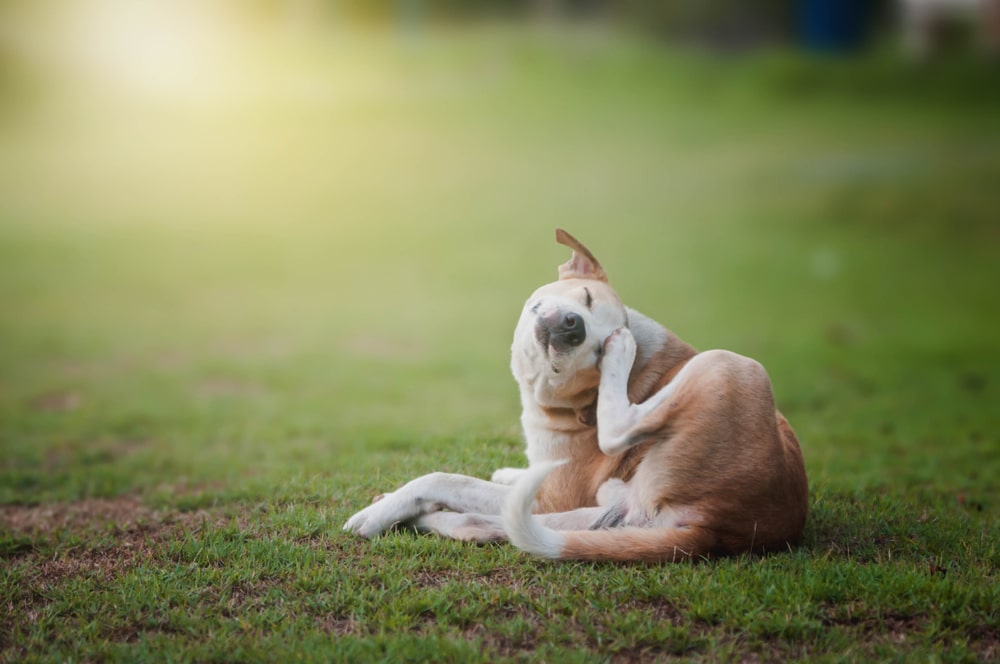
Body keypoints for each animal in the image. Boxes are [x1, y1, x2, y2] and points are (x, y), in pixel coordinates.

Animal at [348, 228, 808, 560]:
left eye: (596, 353)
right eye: (585, 296)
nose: (574, 326)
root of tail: (716, 529)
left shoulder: (551, 496)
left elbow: (443, 478)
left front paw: (376, 513)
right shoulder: (551, 496)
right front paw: (508, 471)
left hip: (732, 365)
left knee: (617, 432)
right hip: (602, 514)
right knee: (488, 527)